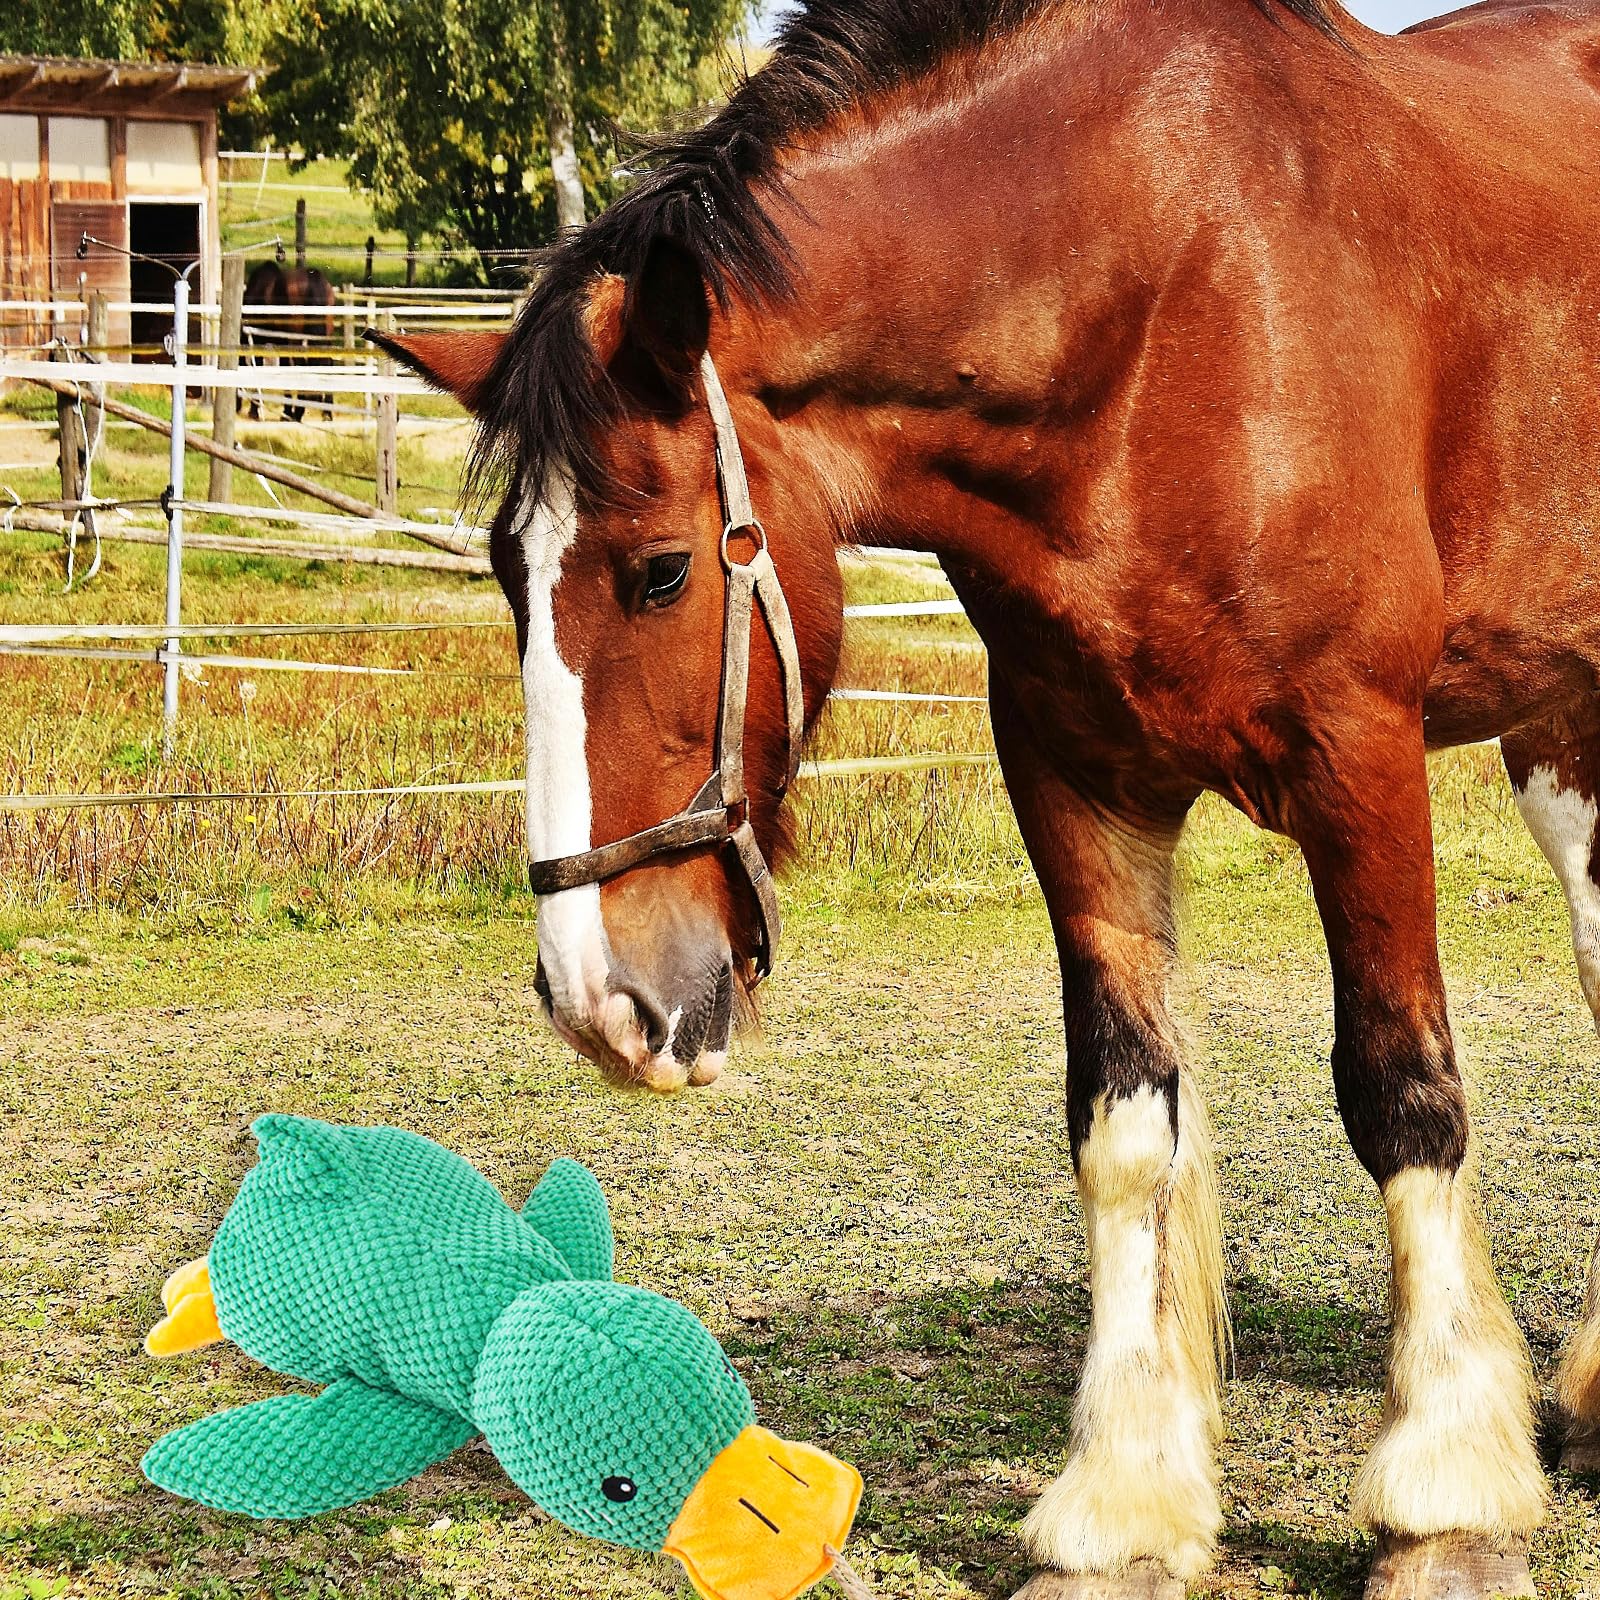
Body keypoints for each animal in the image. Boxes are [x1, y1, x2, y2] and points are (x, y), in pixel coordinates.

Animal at [241, 261, 336, 423]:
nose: (236, 407)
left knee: (301, 366)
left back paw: (298, 412)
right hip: (323, 338)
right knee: (327, 364)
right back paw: (326, 413)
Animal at [374, 0, 1600, 1593]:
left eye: (659, 570)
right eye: (506, 578)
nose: (600, 1001)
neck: (1167, 303)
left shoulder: (1362, 756)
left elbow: (1403, 1095)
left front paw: (1445, 1499)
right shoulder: (1075, 778)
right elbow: (1125, 1125)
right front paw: (1123, 1508)